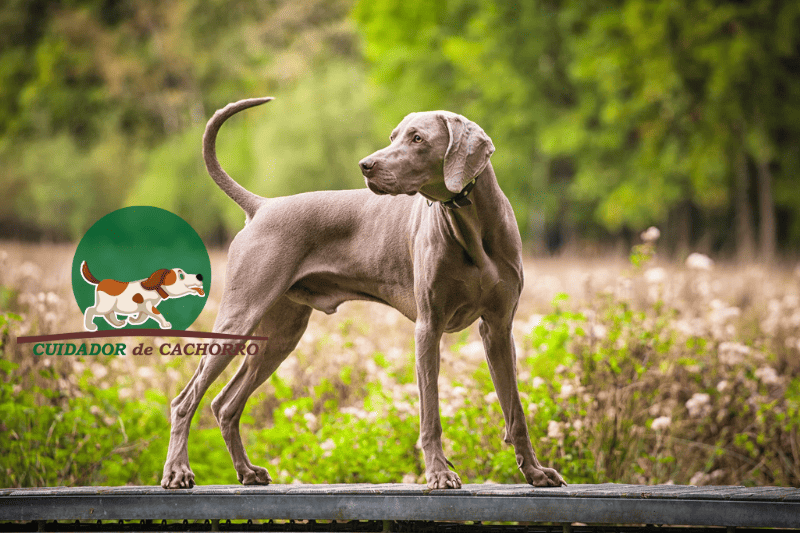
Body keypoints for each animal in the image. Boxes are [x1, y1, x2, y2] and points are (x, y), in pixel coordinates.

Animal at [159, 96, 564, 490]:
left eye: (417, 138)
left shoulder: (498, 327)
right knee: (185, 400)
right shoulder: (428, 327)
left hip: (281, 335)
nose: (365, 165)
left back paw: (246, 471)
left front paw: (535, 472)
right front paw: (439, 473)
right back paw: (178, 471)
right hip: (239, 317)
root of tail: (262, 205)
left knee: (225, 404)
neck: (471, 223)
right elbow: (430, 413)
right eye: (393, 136)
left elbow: (515, 410)